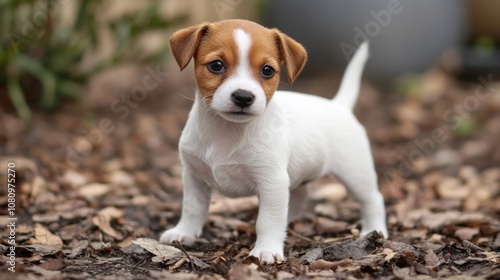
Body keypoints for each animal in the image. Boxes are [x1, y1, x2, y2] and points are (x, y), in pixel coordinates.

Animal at [162, 18, 388, 264]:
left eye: (267, 70)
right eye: (216, 65)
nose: (243, 97)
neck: (227, 132)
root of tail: (339, 105)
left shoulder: (272, 182)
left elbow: (267, 220)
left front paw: (266, 250)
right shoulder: (193, 176)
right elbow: (192, 208)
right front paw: (183, 233)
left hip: (356, 173)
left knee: (373, 199)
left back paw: (375, 230)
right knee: (299, 196)